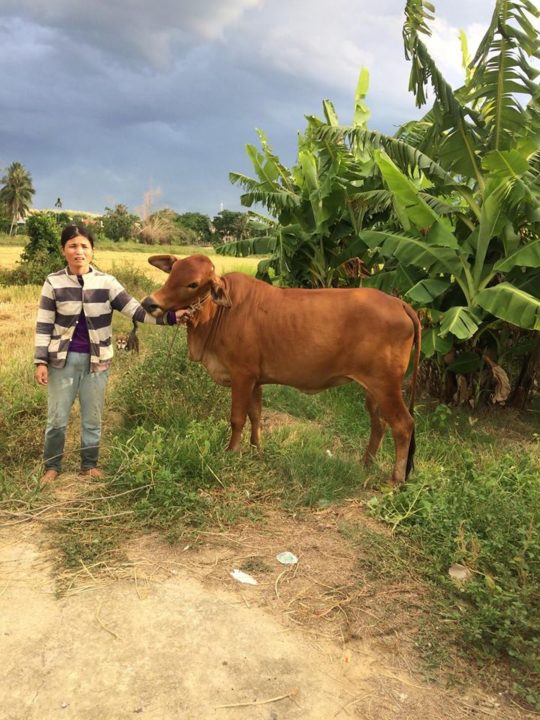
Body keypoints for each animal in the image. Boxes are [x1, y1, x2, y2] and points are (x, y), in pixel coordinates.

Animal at [142, 253, 422, 484]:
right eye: (172, 273)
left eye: (193, 284)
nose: (149, 303)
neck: (219, 314)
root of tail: (399, 303)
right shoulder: (255, 379)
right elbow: (255, 415)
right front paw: (256, 449)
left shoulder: (242, 375)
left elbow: (237, 418)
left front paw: (231, 452)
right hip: (372, 389)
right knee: (379, 424)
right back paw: (365, 464)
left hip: (386, 386)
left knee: (403, 425)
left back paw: (395, 479)